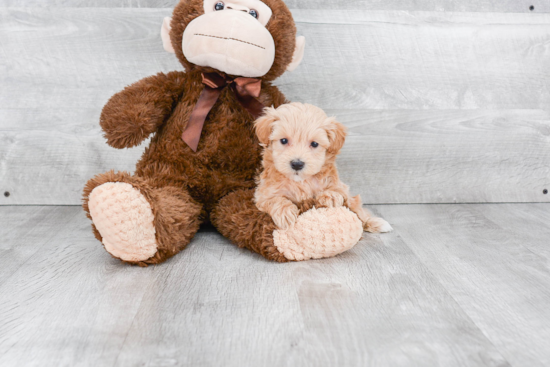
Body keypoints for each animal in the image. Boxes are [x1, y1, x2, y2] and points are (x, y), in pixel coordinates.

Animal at [254, 102, 392, 233]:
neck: (301, 181)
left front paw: (330, 196)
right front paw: (285, 213)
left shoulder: (340, 186)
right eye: (283, 140)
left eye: (314, 144)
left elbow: (344, 196)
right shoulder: (263, 194)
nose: (297, 164)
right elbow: (273, 199)